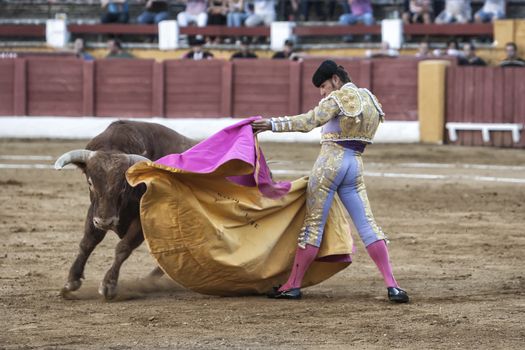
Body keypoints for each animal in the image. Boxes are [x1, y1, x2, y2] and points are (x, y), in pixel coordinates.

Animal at [54, 119, 196, 298]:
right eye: (90, 182)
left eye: (122, 186)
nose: (106, 222)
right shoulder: (95, 211)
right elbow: (88, 241)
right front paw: (72, 280)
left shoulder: (142, 221)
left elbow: (123, 247)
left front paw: (108, 285)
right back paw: (150, 280)